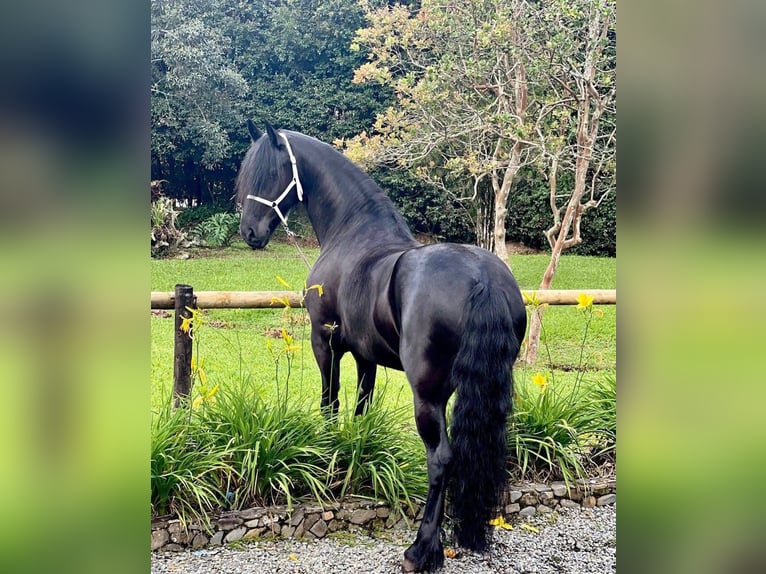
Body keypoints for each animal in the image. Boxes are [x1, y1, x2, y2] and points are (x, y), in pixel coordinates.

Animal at [236, 121, 527, 572]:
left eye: (268, 173)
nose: (249, 232)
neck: (353, 234)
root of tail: (484, 279)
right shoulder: (365, 355)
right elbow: (362, 405)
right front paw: (356, 454)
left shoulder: (325, 342)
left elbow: (330, 402)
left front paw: (328, 459)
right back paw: (469, 534)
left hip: (427, 394)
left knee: (441, 458)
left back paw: (421, 550)